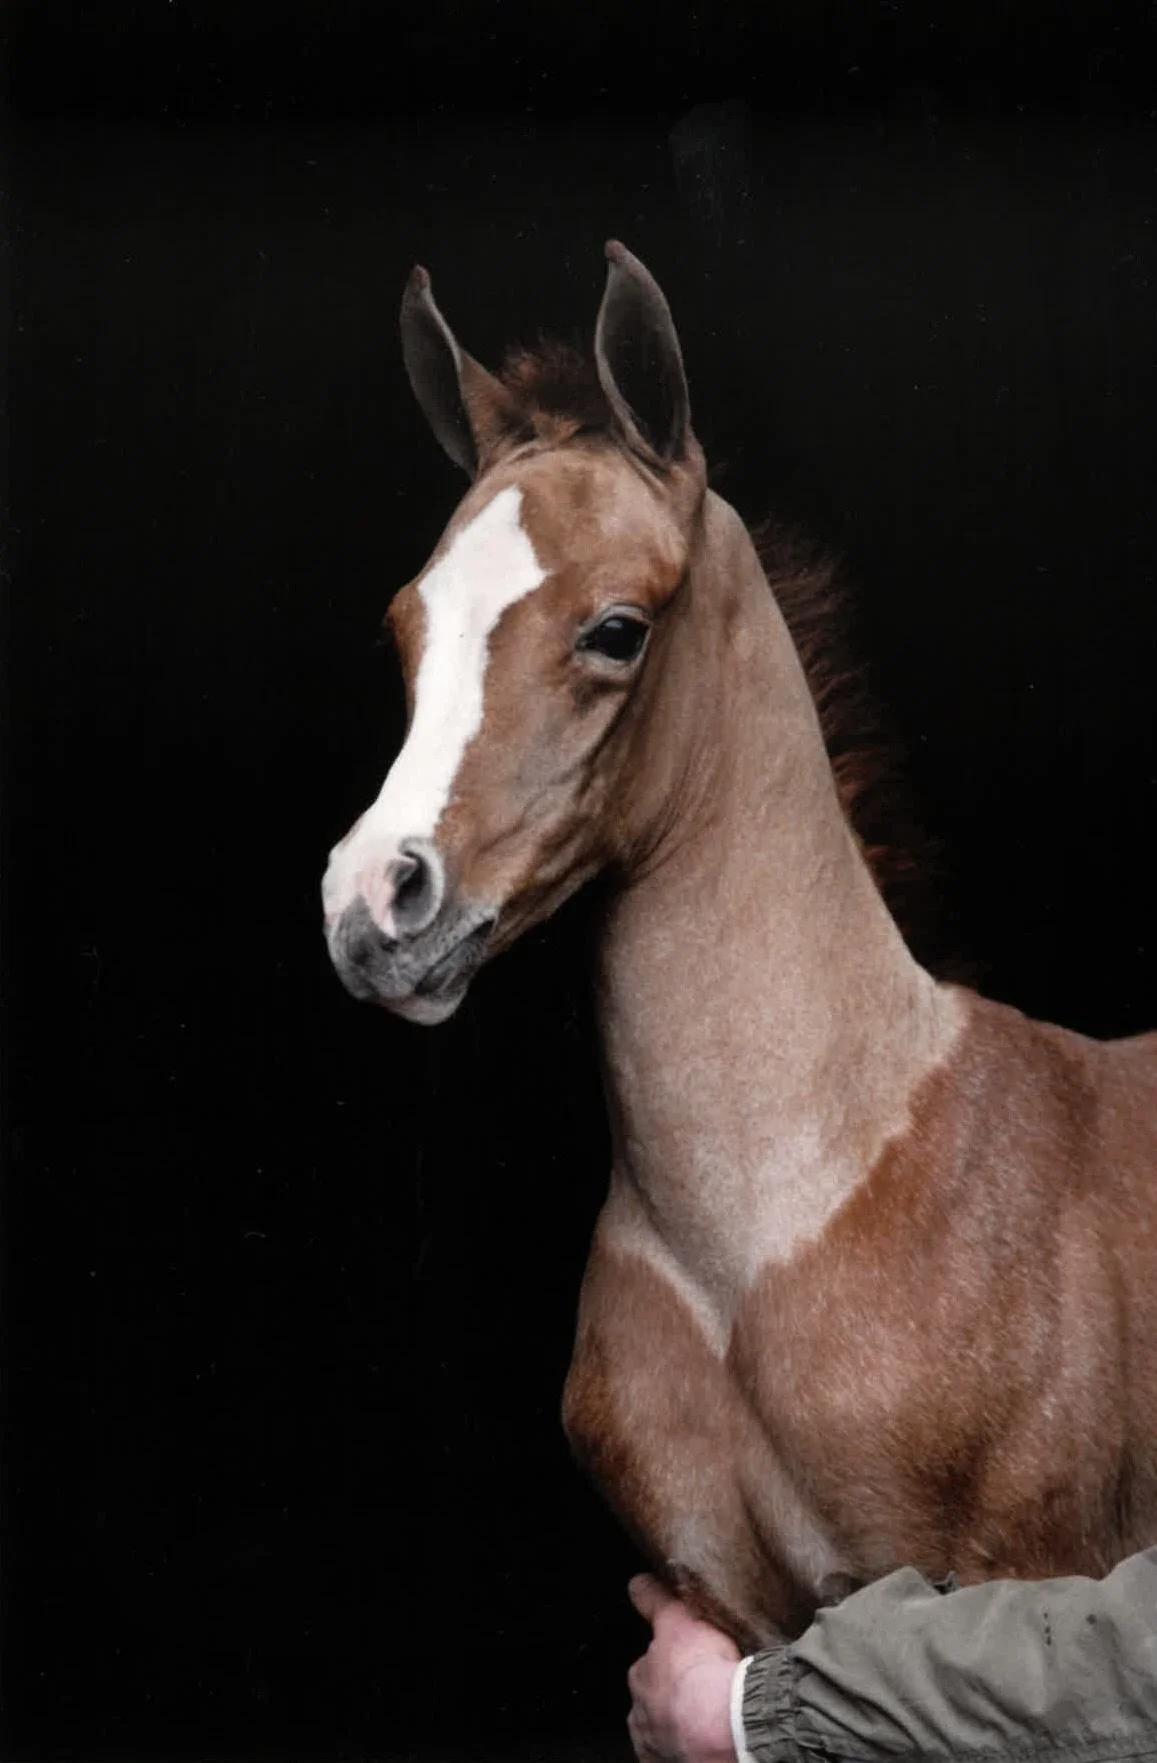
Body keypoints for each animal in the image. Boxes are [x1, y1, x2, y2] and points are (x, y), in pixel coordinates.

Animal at [321, 242, 1157, 1648]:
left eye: (616, 627)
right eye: (403, 626)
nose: (372, 906)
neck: (761, 1238)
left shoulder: (1016, 1571)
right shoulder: (725, 1602)